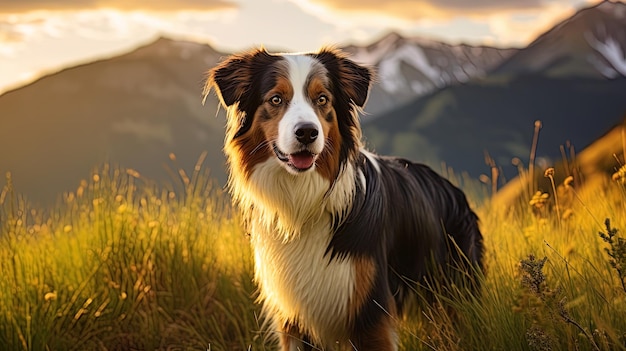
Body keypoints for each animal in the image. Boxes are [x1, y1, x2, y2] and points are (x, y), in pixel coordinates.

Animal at [205, 47, 482, 351]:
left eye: (322, 99)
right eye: (276, 99)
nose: (307, 132)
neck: (302, 202)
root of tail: (454, 189)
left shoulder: (370, 313)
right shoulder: (293, 318)